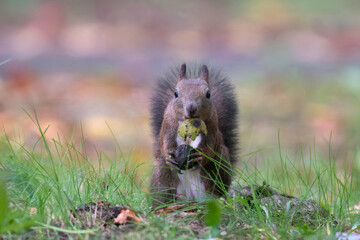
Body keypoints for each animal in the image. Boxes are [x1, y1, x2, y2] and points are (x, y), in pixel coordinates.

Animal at [150, 63, 239, 208]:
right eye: (176, 93)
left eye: (208, 94)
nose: (191, 108)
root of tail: (190, 198)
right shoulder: (168, 123)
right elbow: (165, 142)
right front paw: (169, 157)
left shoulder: (212, 126)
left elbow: (210, 146)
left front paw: (201, 157)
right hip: (162, 177)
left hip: (216, 172)